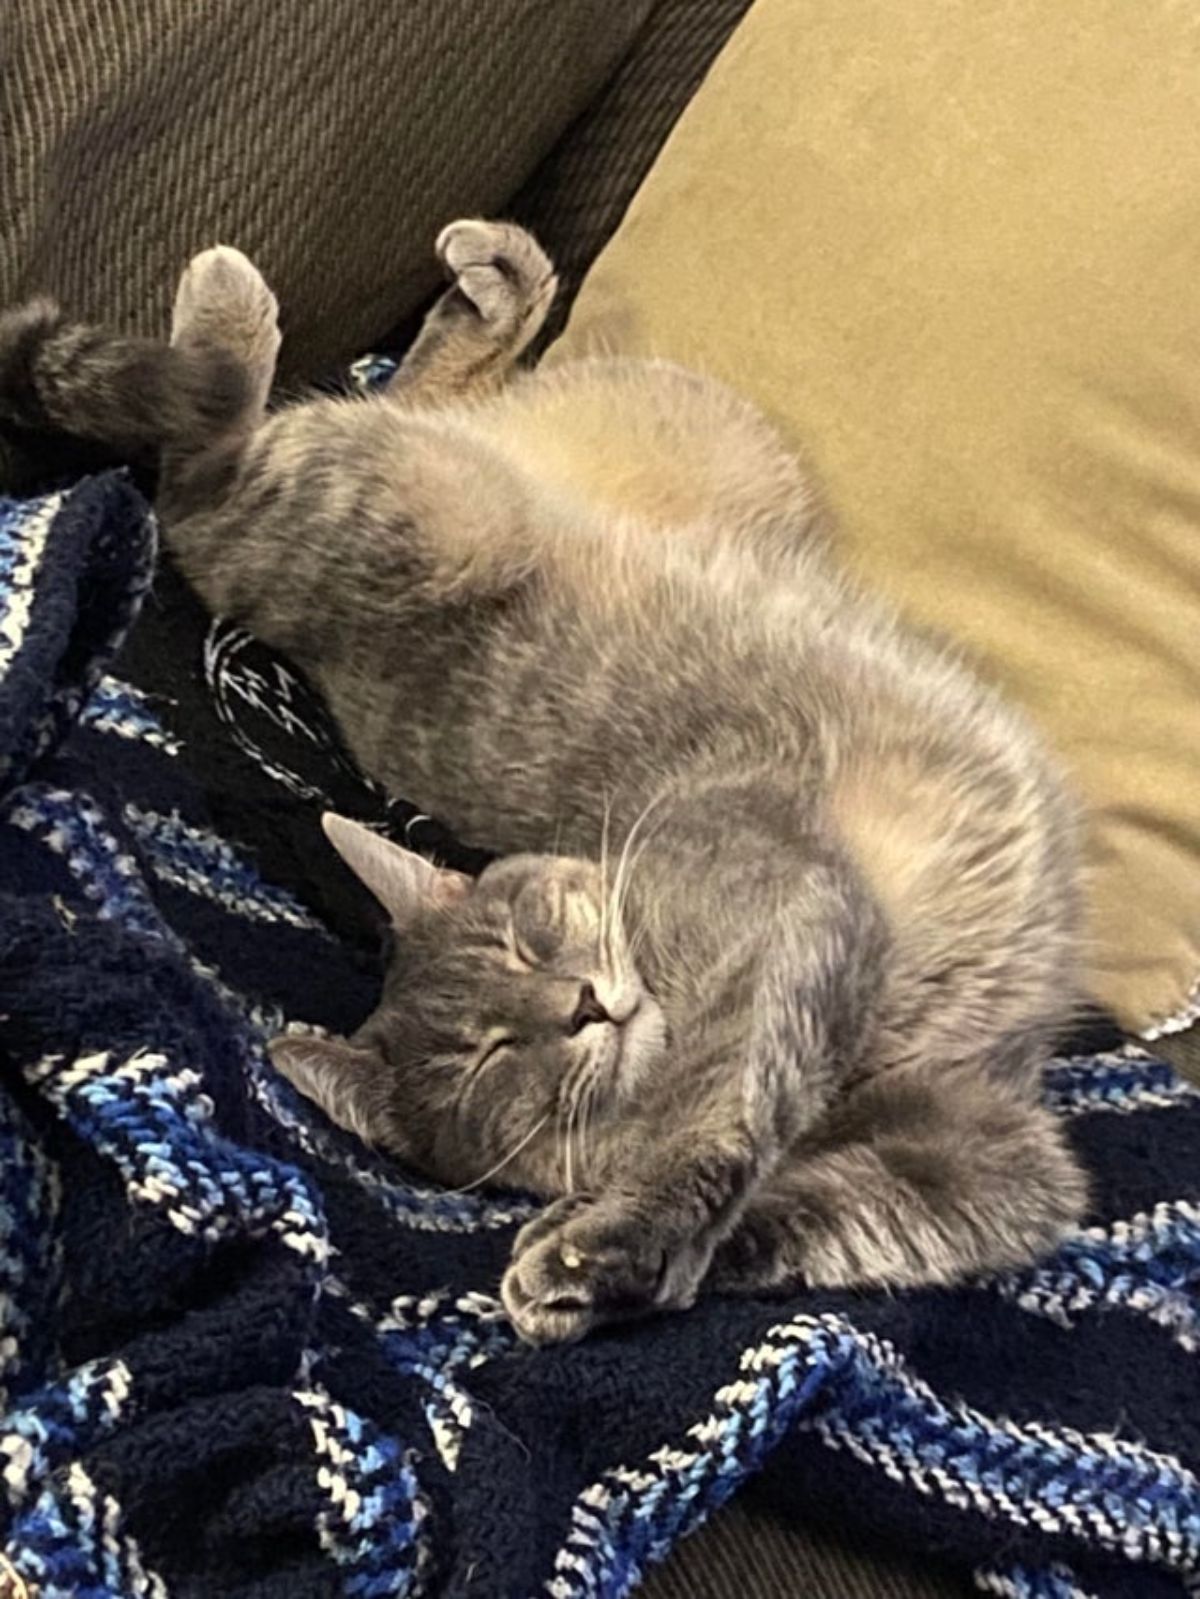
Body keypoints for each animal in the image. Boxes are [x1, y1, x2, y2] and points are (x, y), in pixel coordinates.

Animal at [0, 222, 1088, 1349]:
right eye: (488, 1061)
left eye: (528, 941)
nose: (580, 1007)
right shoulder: (982, 1155)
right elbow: (804, 1205)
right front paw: (614, 1252)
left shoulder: (830, 969)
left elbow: (742, 1138)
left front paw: (608, 1244)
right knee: (212, 453)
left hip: (489, 501)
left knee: (243, 439)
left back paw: (416, 290)